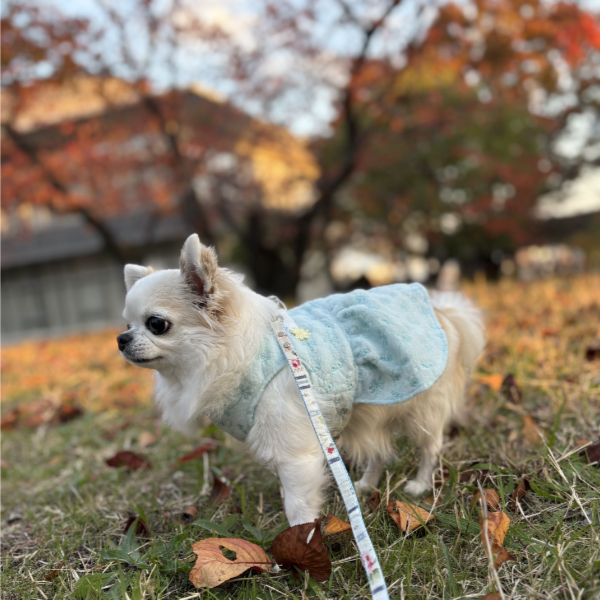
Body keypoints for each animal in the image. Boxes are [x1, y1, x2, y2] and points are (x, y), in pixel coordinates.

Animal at [119, 234, 486, 524]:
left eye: (157, 324)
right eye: (126, 324)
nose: (121, 339)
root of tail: (441, 312)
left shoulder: (293, 451)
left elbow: (297, 503)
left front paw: (300, 546)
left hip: (422, 409)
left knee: (430, 448)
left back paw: (421, 484)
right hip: (372, 412)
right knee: (379, 451)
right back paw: (366, 484)